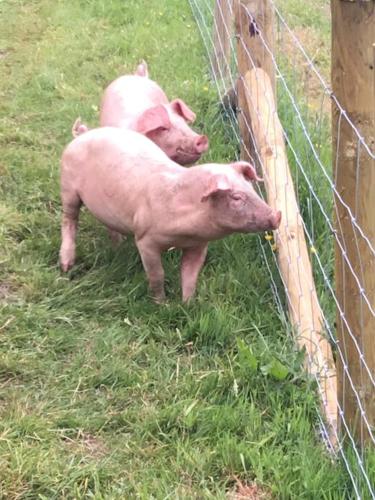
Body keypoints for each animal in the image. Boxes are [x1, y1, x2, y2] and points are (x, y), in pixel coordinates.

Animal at [59, 127, 282, 302]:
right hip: (68, 187)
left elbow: (190, 276)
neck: (186, 233)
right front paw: (161, 303)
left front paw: (187, 305)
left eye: (251, 188)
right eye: (236, 197)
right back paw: (66, 266)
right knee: (69, 220)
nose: (277, 215)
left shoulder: (198, 245)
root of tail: (83, 134)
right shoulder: (145, 239)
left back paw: (117, 245)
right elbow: (157, 275)